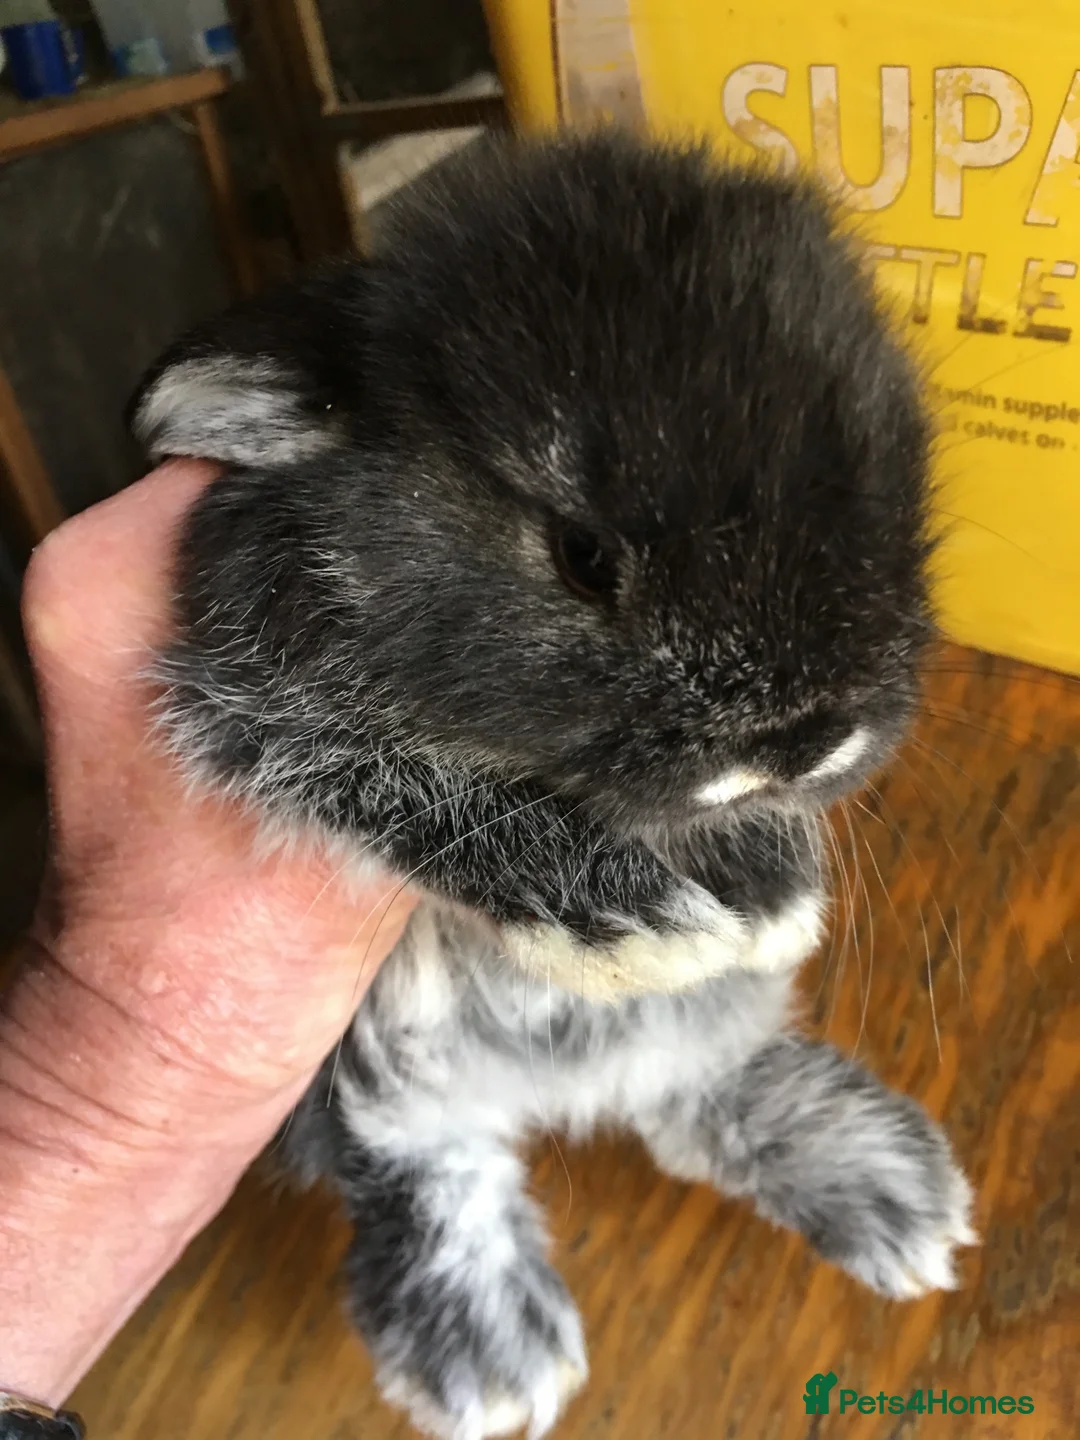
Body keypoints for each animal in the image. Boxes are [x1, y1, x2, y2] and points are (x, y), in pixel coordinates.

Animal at [130, 132, 976, 1440]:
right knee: (426, 1157)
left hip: (691, 1042)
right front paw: (634, 920)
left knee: (691, 1088)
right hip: (363, 1075)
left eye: (901, 491)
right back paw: (486, 1355)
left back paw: (885, 1187)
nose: (807, 743)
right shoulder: (252, 701)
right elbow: (399, 782)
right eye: (583, 555)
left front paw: (765, 885)